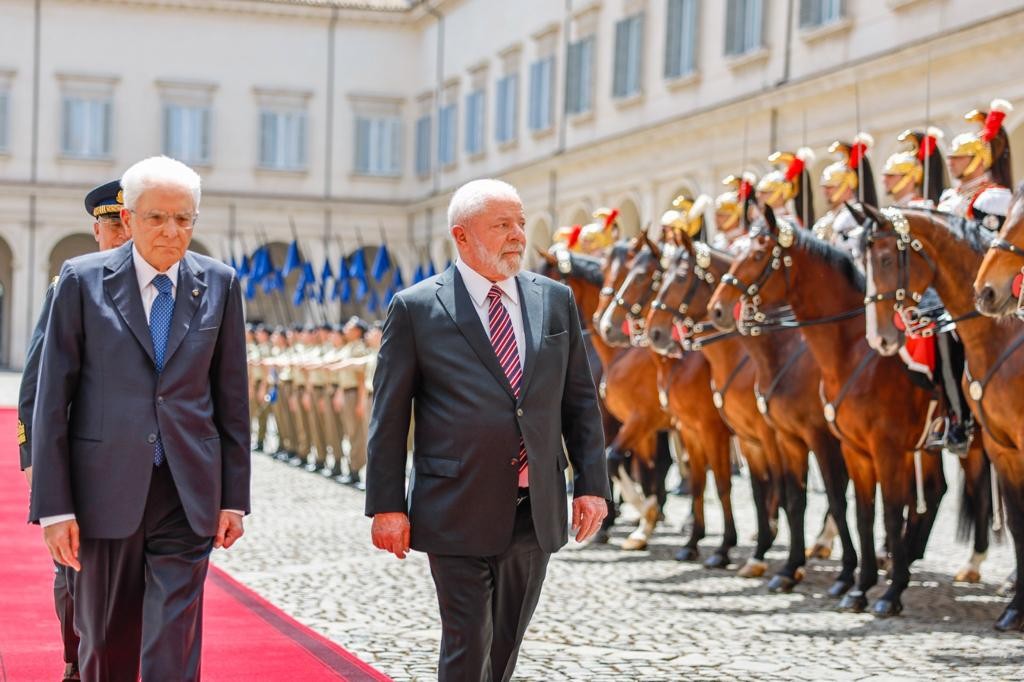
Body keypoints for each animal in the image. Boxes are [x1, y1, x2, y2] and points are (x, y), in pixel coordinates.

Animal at [598, 238, 741, 561]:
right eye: (603, 269)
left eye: (640, 276)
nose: (606, 324)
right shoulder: (672, 428)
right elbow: (650, 469)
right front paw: (647, 525)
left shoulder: (650, 421)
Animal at [651, 235, 860, 593]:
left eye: (677, 277)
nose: (653, 332)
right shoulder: (741, 438)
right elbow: (752, 490)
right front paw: (750, 551)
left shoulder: (761, 435)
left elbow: (756, 489)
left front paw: (736, 549)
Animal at [708, 210, 946, 614]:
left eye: (756, 254)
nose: (718, 309)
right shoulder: (802, 441)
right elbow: (810, 501)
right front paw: (805, 571)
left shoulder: (844, 442)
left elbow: (855, 503)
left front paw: (870, 583)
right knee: (933, 491)